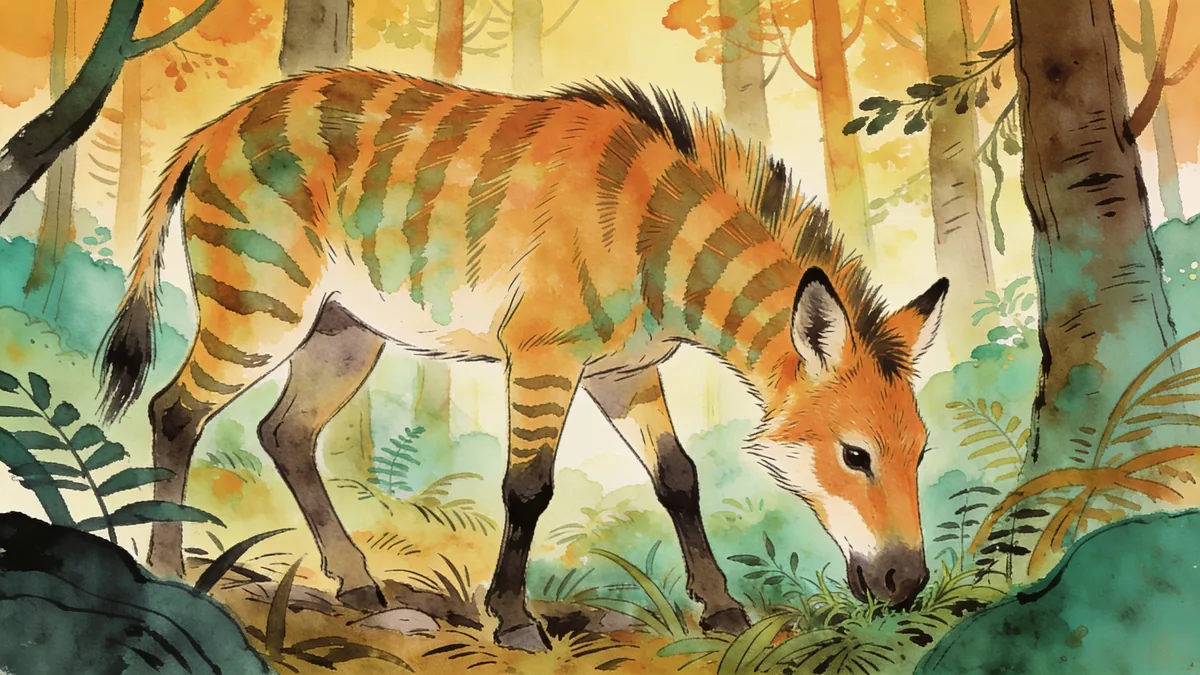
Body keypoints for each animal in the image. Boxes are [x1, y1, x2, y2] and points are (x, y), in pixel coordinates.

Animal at [98, 68, 947, 651]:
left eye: (921, 452)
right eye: (855, 453)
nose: (907, 584)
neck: (652, 240)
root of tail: (214, 127)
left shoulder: (624, 371)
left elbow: (677, 478)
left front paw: (725, 610)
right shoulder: (544, 355)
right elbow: (528, 486)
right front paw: (512, 620)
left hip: (342, 329)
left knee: (285, 433)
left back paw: (363, 586)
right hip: (259, 306)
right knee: (176, 411)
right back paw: (170, 574)